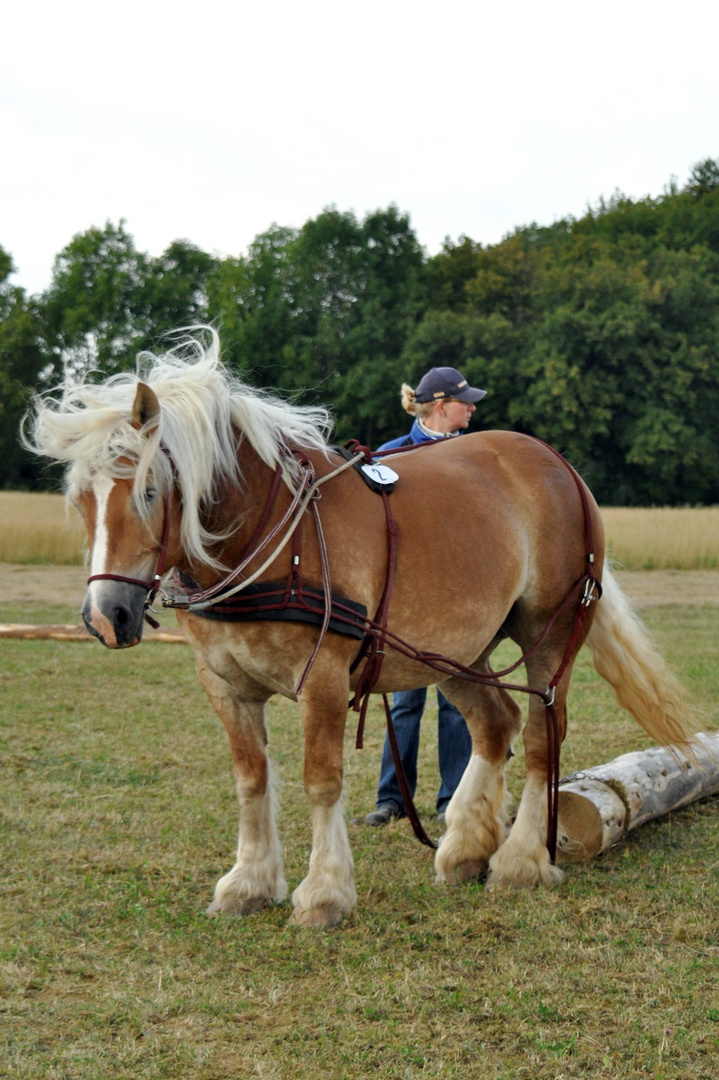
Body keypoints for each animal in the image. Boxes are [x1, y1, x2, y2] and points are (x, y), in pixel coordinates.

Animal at [25, 330, 690, 928]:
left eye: (149, 491)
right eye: (81, 499)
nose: (105, 616)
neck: (269, 533)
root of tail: (559, 465)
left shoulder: (322, 675)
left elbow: (321, 781)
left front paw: (323, 894)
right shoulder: (223, 682)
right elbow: (250, 779)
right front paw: (249, 883)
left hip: (548, 633)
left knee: (540, 738)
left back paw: (521, 860)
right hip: (452, 649)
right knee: (494, 724)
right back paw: (465, 848)